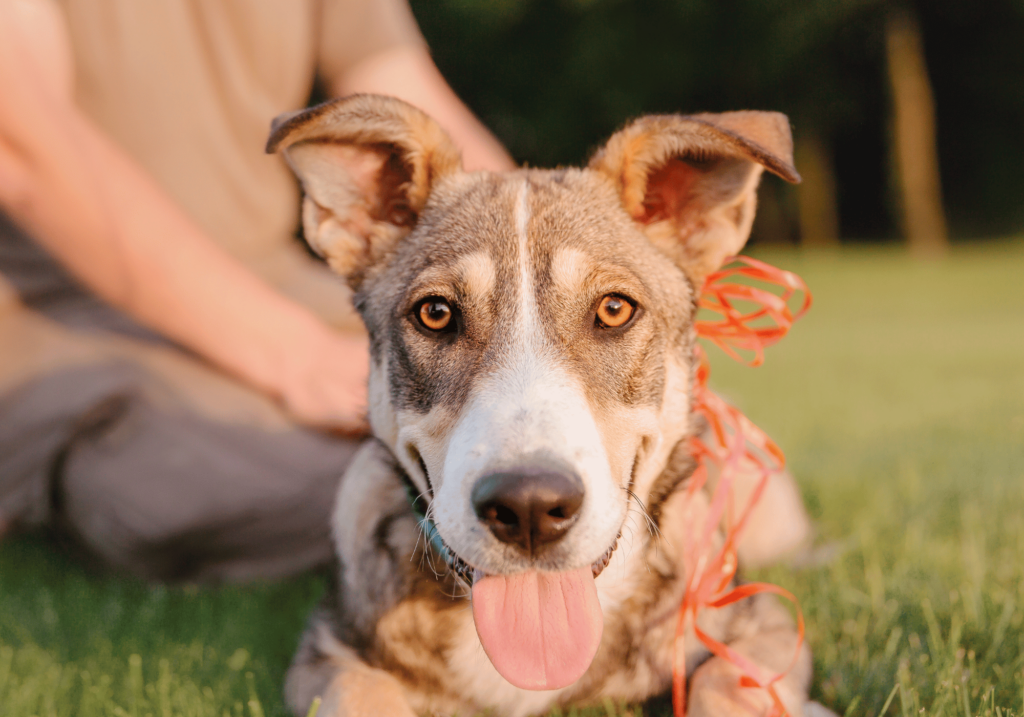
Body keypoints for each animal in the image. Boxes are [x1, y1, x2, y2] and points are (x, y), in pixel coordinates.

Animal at [268, 95, 811, 717]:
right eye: (435, 313)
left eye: (615, 309)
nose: (528, 507)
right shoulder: (327, 654)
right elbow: (362, 694)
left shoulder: (761, 628)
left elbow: (725, 686)